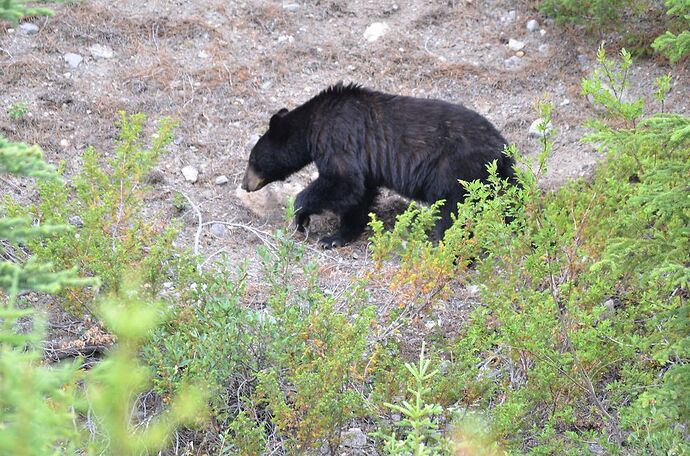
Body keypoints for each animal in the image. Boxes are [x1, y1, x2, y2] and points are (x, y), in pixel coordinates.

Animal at [239, 81, 512, 246]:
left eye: (252, 159)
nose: (244, 184)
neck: (312, 124)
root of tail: (501, 147)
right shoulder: (366, 163)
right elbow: (359, 194)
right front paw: (339, 236)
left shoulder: (338, 137)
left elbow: (343, 182)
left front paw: (303, 219)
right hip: (496, 176)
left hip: (455, 171)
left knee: (454, 211)